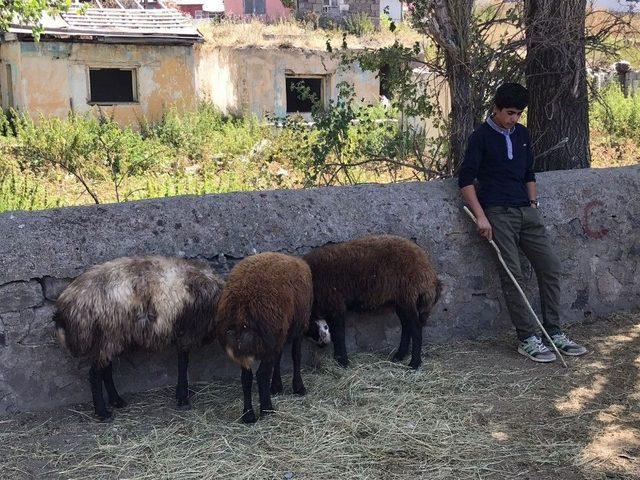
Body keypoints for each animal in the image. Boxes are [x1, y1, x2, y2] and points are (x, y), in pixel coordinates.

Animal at [53, 255, 226, 420]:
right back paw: (103, 413)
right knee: (95, 374)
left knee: (106, 370)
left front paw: (181, 395)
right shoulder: (188, 332)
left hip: (110, 339)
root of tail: (66, 306)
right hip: (110, 335)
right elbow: (183, 363)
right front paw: (183, 398)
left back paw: (117, 401)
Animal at [215, 251, 330, 424]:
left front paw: (276, 387)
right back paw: (267, 410)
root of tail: (242, 307)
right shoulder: (297, 327)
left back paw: (248, 415)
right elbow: (296, 356)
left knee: (246, 377)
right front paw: (298, 387)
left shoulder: (280, 334)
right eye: (325, 327)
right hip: (267, 337)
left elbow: (279, 357)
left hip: (248, 344)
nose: (326, 342)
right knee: (262, 374)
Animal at [304, 234, 442, 370]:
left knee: (416, 328)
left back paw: (414, 363)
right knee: (407, 326)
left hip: (408, 296)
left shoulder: (335, 305)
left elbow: (339, 335)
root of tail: (427, 267)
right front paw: (339, 360)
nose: (322, 345)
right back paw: (399, 356)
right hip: (401, 300)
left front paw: (342, 361)